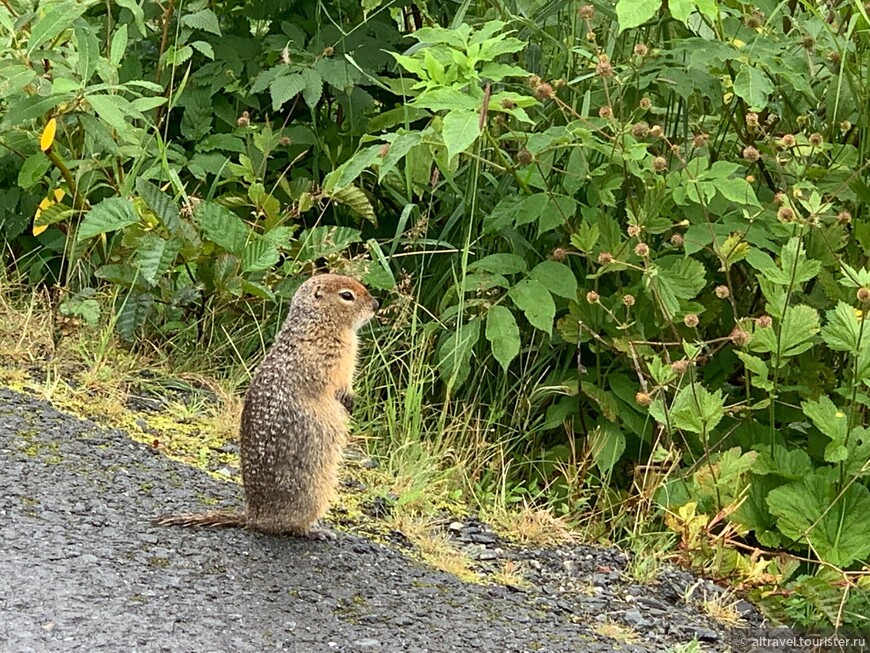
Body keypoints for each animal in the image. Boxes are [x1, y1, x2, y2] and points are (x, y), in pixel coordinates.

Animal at [155, 272, 380, 536]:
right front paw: (348, 400)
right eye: (347, 295)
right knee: (293, 528)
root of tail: (254, 516)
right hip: (314, 494)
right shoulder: (331, 360)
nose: (376, 305)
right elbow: (335, 383)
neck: (319, 322)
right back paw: (317, 531)